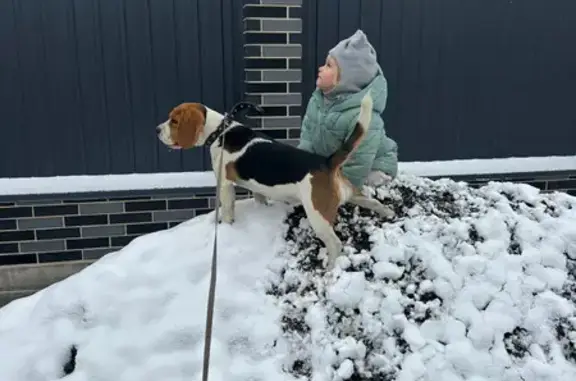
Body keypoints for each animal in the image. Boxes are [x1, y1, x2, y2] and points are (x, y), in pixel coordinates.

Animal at [155, 93, 394, 268]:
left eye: (174, 121)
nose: (157, 129)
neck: (220, 131)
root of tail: (326, 162)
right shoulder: (257, 188)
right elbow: (260, 198)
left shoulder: (224, 185)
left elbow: (228, 210)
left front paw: (227, 227)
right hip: (353, 194)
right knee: (376, 203)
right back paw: (389, 215)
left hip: (317, 214)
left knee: (335, 244)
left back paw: (330, 268)